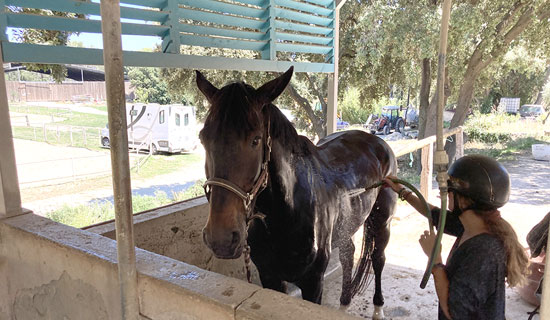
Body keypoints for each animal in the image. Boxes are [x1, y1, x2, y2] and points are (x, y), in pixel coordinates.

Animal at [197, 67, 396, 318]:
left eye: (256, 140)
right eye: (203, 139)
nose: (221, 238)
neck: (288, 211)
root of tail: (376, 140)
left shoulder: (313, 283)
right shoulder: (270, 277)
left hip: (382, 221)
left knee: (378, 259)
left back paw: (378, 308)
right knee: (348, 255)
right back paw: (344, 303)